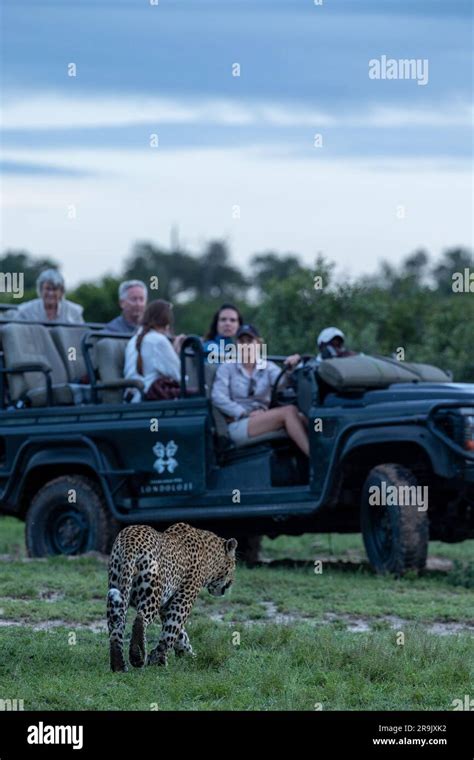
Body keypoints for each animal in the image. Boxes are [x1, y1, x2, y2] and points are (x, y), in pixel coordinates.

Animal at [105, 524, 235, 672]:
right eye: (234, 563)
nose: (232, 582)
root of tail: (129, 542)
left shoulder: (167, 604)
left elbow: (179, 632)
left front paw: (188, 655)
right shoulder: (184, 599)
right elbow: (172, 629)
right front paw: (158, 660)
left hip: (116, 588)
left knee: (116, 627)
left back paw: (119, 666)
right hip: (152, 592)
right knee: (140, 619)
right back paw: (137, 656)